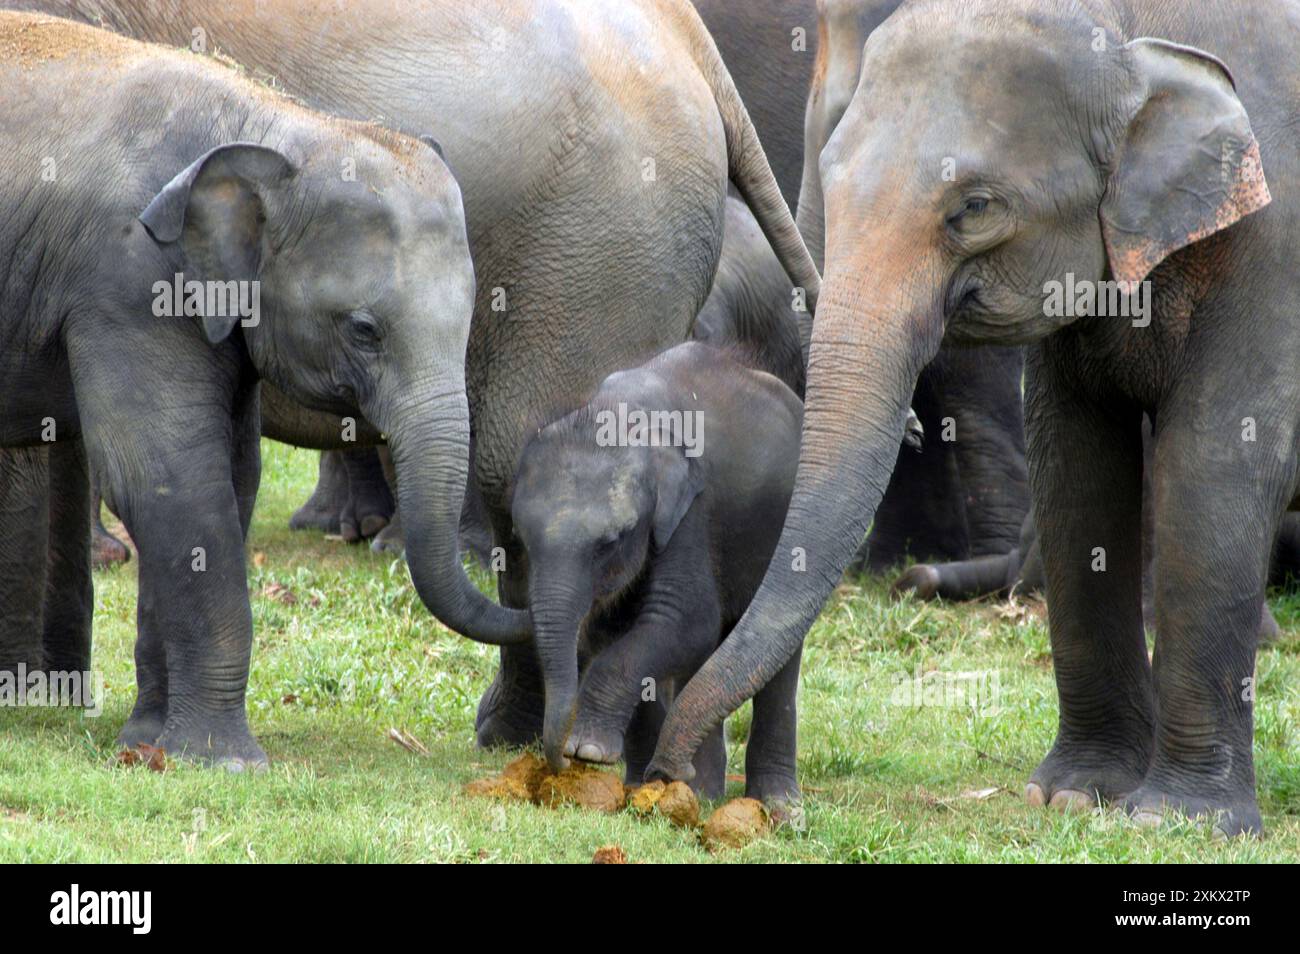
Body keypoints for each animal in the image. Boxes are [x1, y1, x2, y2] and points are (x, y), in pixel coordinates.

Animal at [512, 340, 806, 805]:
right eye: (521, 538)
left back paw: (777, 806)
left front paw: (589, 751)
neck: (617, 412)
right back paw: (700, 792)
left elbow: (684, 621)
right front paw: (634, 780)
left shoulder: (691, 512)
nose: (559, 761)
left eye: (611, 541)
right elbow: (615, 633)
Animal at [655, 0, 1294, 837]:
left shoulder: (1269, 244)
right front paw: (1073, 795)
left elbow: (1217, 459)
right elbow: (1076, 465)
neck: (1127, 32)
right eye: (830, 174)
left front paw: (1174, 821)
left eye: (976, 208)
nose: (667, 774)